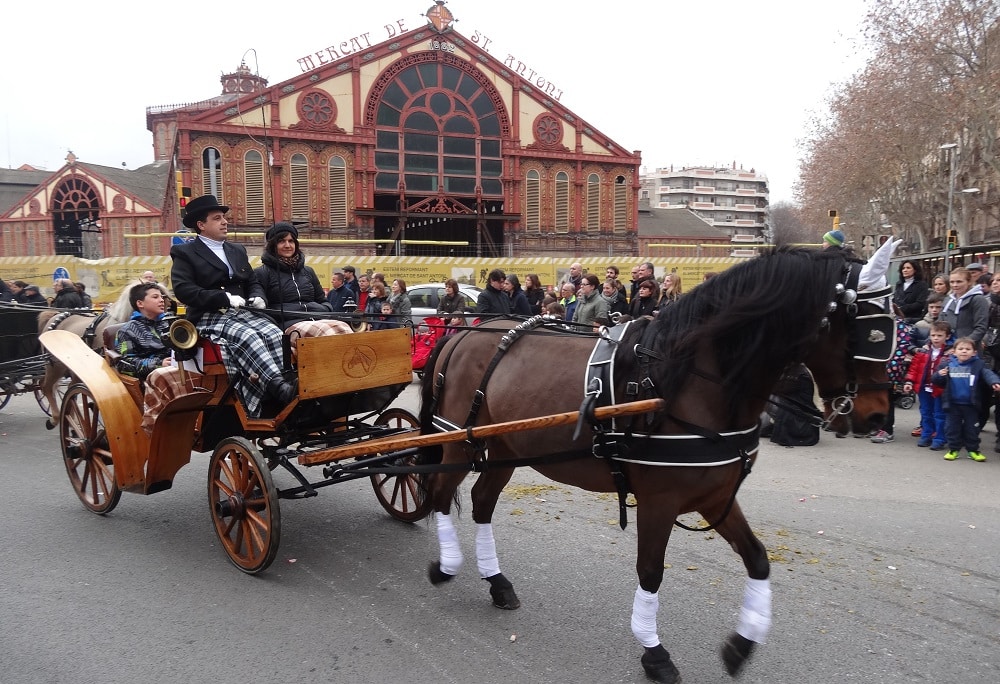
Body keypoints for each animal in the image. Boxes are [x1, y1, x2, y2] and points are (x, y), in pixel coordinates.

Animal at [414, 247, 892, 684]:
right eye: (872, 331)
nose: (877, 415)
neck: (688, 383)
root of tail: (465, 334)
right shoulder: (659, 501)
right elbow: (651, 571)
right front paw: (654, 651)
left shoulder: (715, 496)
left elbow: (757, 559)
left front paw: (743, 642)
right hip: (457, 442)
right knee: (440, 495)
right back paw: (446, 565)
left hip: (507, 448)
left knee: (481, 502)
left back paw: (497, 581)